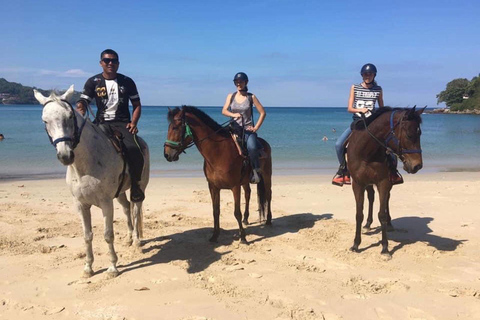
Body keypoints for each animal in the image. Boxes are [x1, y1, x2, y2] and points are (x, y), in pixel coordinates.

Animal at [33, 85, 149, 278]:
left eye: (70, 117)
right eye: (45, 121)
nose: (65, 155)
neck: (86, 165)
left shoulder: (106, 203)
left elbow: (108, 235)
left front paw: (112, 267)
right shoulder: (81, 204)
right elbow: (87, 235)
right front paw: (88, 267)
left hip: (139, 186)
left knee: (136, 209)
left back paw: (137, 240)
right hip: (120, 192)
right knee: (126, 208)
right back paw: (129, 237)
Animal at [163, 105, 272, 242]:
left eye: (175, 127)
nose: (166, 154)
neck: (219, 152)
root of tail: (264, 143)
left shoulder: (235, 187)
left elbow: (236, 212)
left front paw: (243, 237)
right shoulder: (213, 187)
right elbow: (215, 211)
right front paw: (215, 236)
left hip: (267, 175)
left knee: (268, 194)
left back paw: (268, 220)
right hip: (245, 181)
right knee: (248, 193)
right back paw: (246, 219)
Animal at [348, 107, 424, 258]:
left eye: (420, 133)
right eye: (409, 135)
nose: (417, 166)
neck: (367, 153)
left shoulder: (383, 183)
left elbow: (382, 214)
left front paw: (385, 248)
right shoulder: (358, 184)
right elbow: (359, 214)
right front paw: (356, 244)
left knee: (386, 199)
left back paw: (389, 224)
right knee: (371, 197)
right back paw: (368, 224)